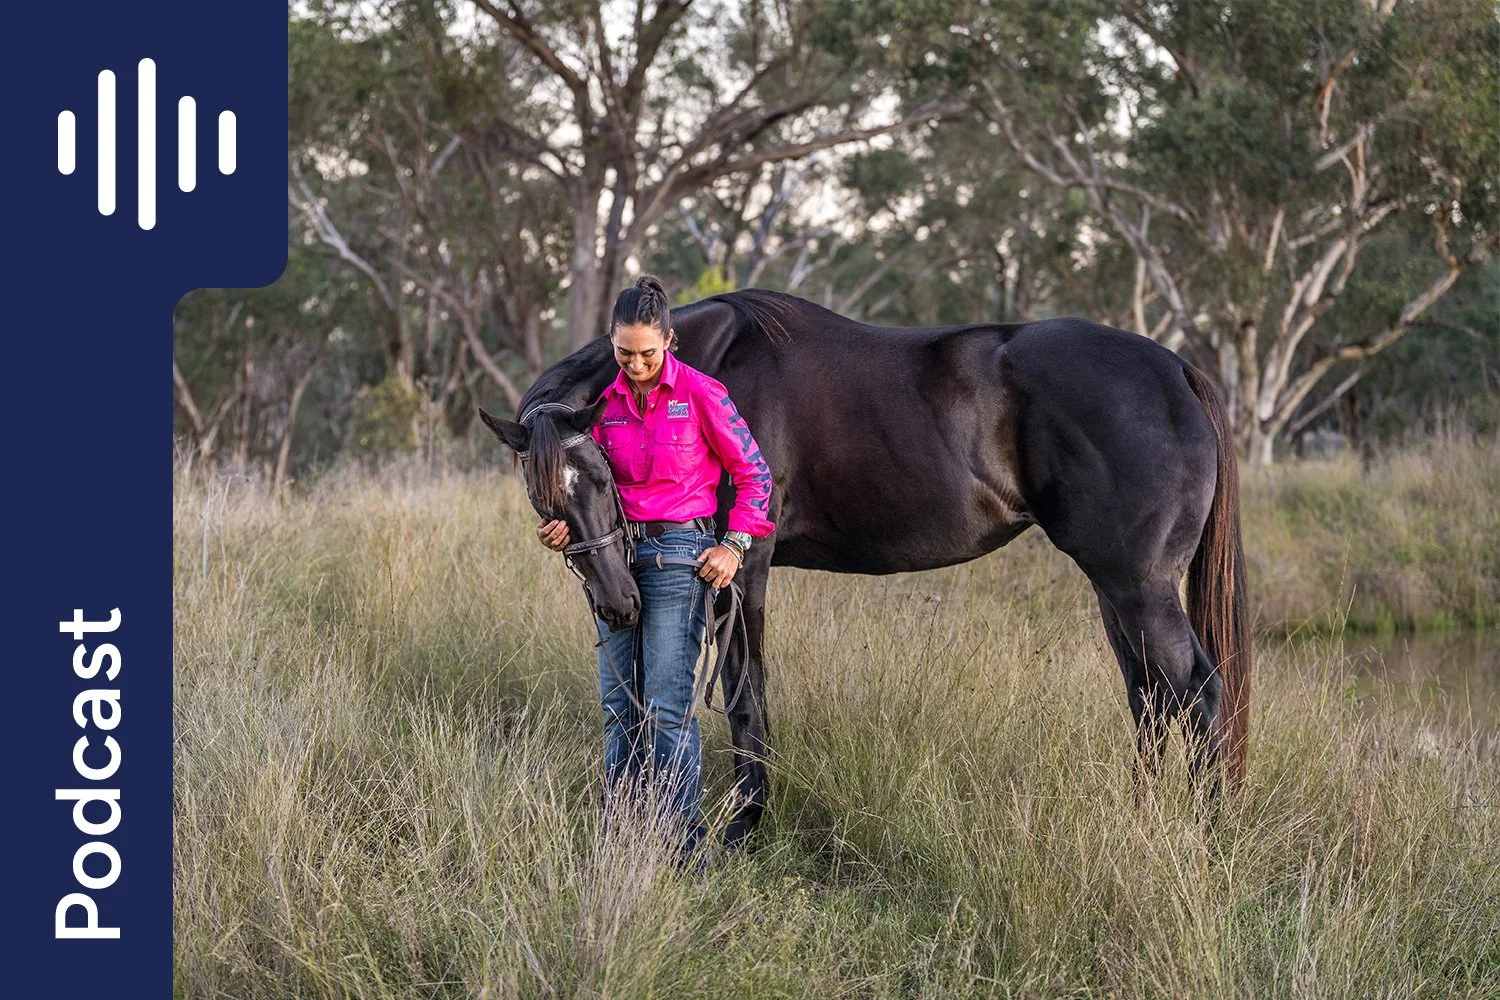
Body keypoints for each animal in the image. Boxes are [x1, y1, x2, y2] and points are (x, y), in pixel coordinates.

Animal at [479, 289, 1251, 846]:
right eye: (545, 499)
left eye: (601, 476)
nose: (617, 603)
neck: (704, 365)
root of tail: (1176, 370)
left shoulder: (740, 568)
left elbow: (744, 693)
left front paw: (746, 823)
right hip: (1116, 590)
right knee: (1151, 700)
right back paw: (1143, 819)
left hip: (1140, 588)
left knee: (1197, 694)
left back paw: (1210, 835)